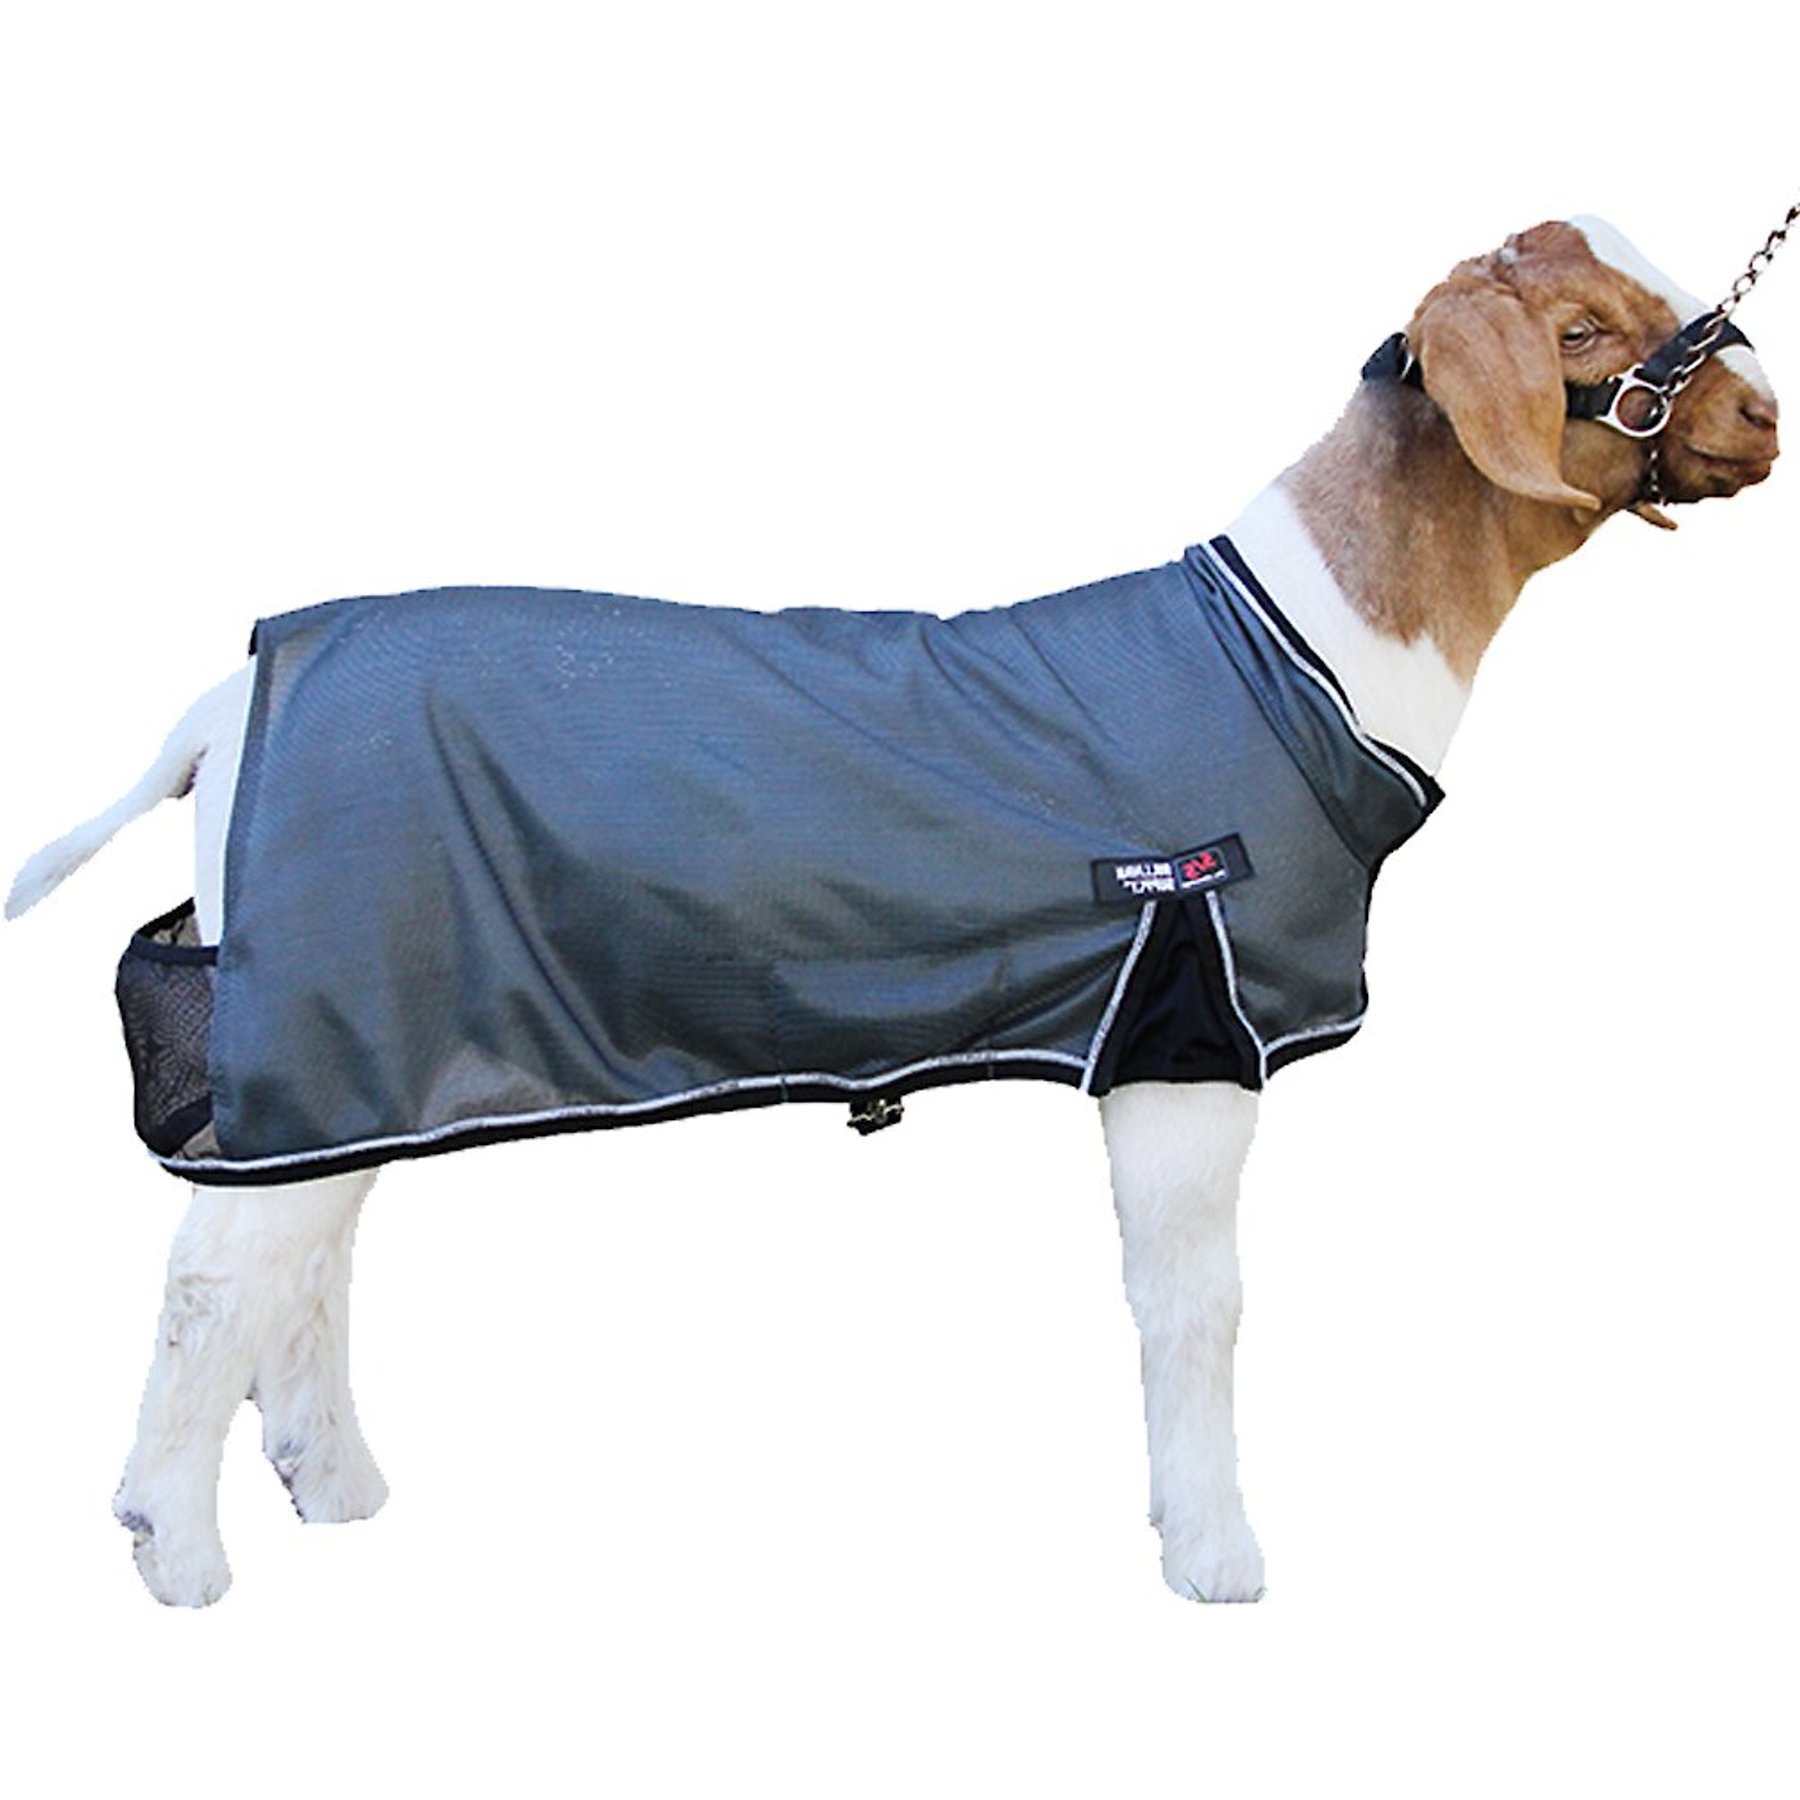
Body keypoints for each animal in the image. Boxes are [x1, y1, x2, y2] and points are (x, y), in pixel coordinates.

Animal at [6, 217, 1779, 1607]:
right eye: (1577, 333)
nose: (1764, 413)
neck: (1311, 650)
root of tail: (224, 704)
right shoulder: (1189, 1022)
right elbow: (1196, 1305)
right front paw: (1217, 1555)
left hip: (367, 1012)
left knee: (314, 1242)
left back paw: (336, 1484)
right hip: (332, 992)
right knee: (219, 1277)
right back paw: (173, 1545)